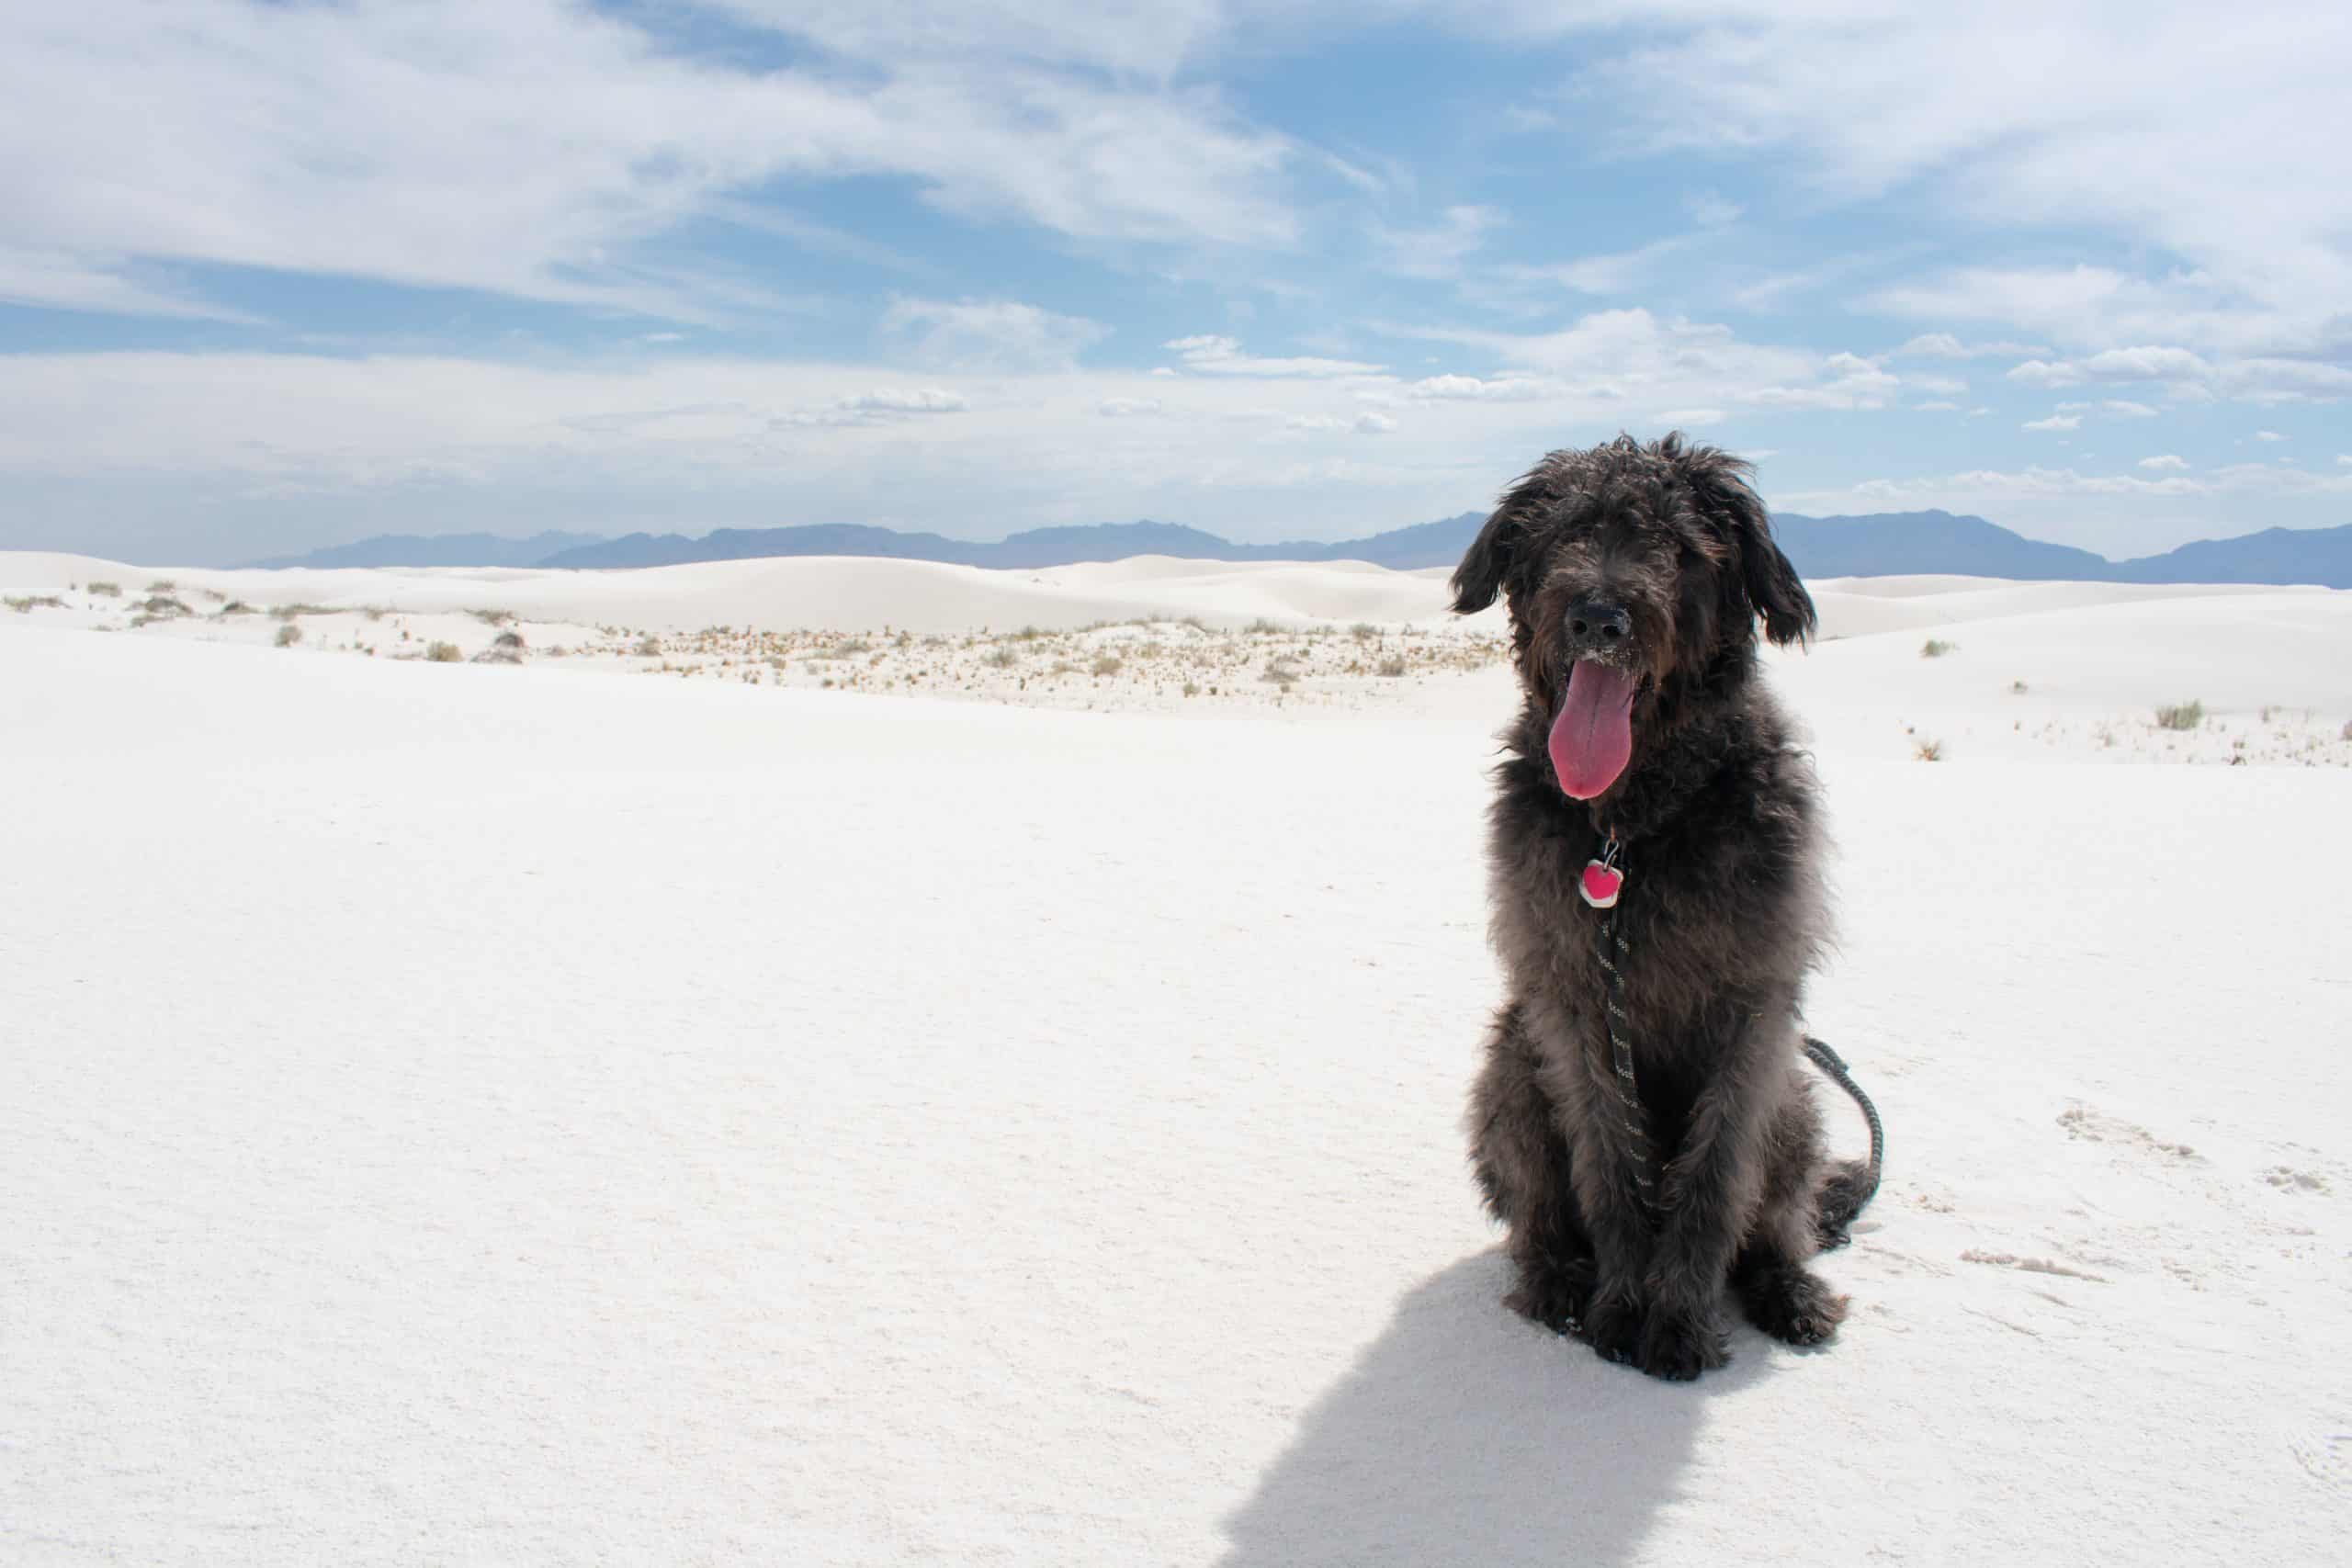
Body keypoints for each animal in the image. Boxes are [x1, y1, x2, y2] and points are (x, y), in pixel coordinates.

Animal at [1439, 434, 1862, 1382]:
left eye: (1680, 545)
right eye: (1560, 532)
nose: (1598, 617)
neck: (1630, 831)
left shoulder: (1755, 1014)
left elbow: (1713, 1178)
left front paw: (1676, 1319)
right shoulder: (1575, 1009)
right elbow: (1611, 1166)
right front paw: (1625, 1304)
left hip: (1798, 1100)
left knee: (1782, 1219)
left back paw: (1790, 1289)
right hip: (1510, 1068)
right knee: (1537, 1213)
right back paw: (1557, 1279)